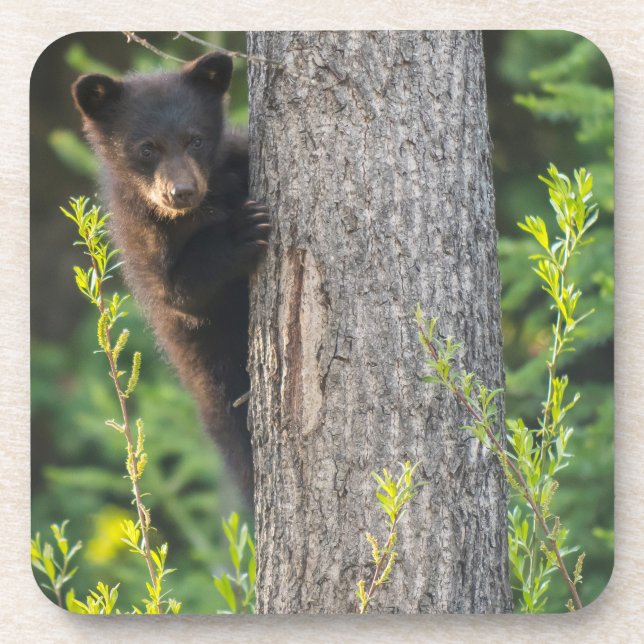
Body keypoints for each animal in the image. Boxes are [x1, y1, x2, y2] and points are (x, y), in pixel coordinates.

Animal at [71, 52, 270, 505]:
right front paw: (243, 230)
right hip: (210, 374)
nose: (181, 191)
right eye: (147, 148)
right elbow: (183, 291)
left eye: (195, 139)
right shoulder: (142, 240)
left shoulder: (233, 162)